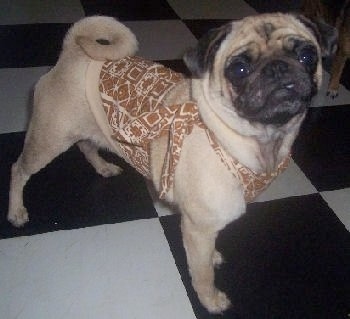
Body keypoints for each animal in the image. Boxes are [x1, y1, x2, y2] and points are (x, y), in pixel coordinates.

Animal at [7, 13, 336, 314]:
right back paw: (16, 211)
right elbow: (202, 275)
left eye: (307, 55)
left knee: (86, 145)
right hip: (48, 140)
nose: (278, 68)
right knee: (18, 170)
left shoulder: (205, 228)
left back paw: (102, 167)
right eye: (239, 69)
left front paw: (212, 256)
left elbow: (206, 255)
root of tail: (72, 52)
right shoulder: (198, 228)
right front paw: (210, 300)